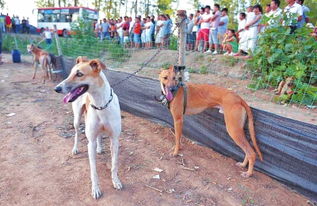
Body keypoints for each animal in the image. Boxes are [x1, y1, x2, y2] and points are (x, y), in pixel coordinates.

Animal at [55, 56, 121, 200]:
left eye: (79, 74)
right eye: (70, 73)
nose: (56, 88)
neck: (101, 104)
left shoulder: (115, 139)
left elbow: (114, 165)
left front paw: (116, 181)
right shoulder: (90, 142)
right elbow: (93, 170)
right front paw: (95, 189)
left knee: (99, 135)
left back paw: (100, 148)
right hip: (77, 119)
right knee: (76, 133)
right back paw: (75, 148)